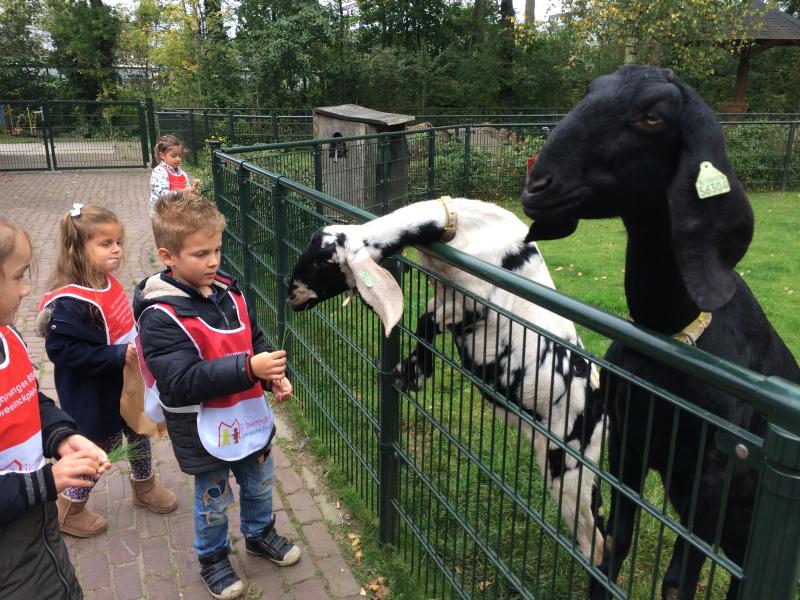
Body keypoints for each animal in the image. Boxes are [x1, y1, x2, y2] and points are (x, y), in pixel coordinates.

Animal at [288, 199, 608, 564]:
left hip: (567, 463)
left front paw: (414, 374)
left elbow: (426, 318)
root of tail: (601, 405)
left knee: (596, 540)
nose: (290, 295)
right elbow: (426, 314)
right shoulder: (444, 296)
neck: (466, 227)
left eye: (321, 263)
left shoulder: (473, 304)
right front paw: (410, 370)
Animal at [520, 63, 796, 596]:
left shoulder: (717, 473)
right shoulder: (628, 440)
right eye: (591, 91)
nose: (537, 184)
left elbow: (676, 582)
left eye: (653, 117)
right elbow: (615, 543)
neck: (671, 335)